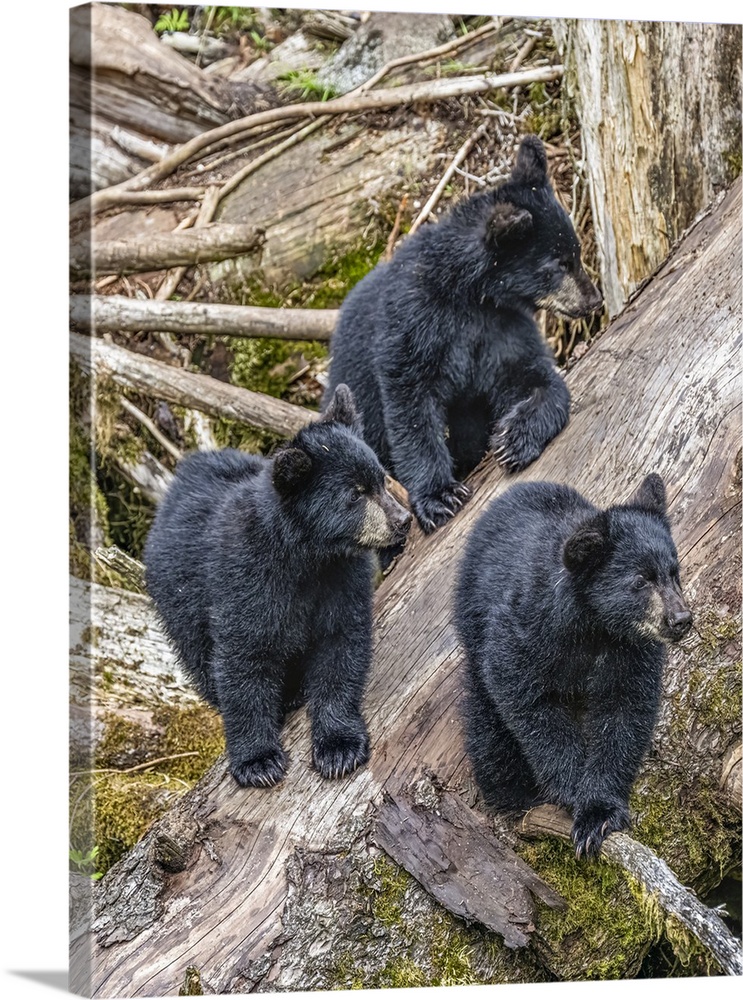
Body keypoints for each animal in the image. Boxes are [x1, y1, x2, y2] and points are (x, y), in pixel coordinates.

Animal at [144, 385, 411, 788]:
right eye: (355, 494)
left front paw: (339, 747)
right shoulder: (245, 578)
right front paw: (258, 761)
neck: (305, 557)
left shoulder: (340, 577)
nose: (403, 520)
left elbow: (341, 644)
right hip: (178, 596)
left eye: (381, 478)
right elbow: (243, 659)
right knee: (199, 656)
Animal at [323, 134, 603, 535]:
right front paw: (439, 497)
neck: (471, 296)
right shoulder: (413, 323)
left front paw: (514, 437)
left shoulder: (502, 328)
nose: (594, 299)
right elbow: (410, 408)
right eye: (558, 264)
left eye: (576, 252)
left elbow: (533, 376)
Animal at [453, 474, 693, 858]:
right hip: (472, 623)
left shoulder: (631, 650)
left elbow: (624, 713)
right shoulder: (526, 629)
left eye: (675, 573)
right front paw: (571, 793)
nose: (680, 619)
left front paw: (599, 813)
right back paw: (512, 790)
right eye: (640, 581)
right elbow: (527, 702)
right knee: (487, 725)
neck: (594, 627)